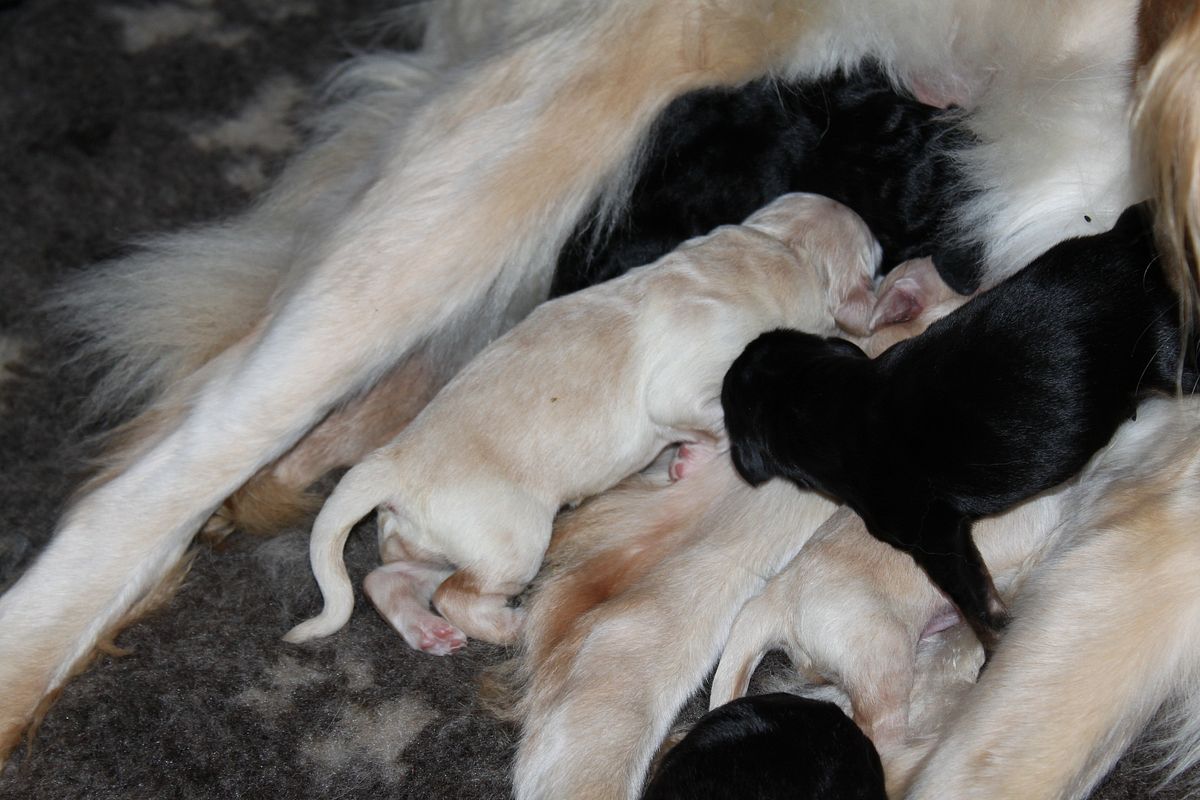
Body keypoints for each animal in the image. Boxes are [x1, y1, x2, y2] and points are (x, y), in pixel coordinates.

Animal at [283, 193, 881, 651]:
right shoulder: (686, 387)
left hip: (434, 543)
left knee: (385, 578)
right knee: (455, 595)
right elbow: (714, 422)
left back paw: (427, 631)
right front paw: (689, 460)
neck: (779, 247)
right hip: (513, 539)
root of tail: (392, 462)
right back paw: (510, 626)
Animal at [722, 204, 1197, 649]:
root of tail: (1128, 240)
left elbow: (976, 603)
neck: (831, 399)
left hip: (1169, 355)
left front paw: (994, 643)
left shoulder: (935, 535)